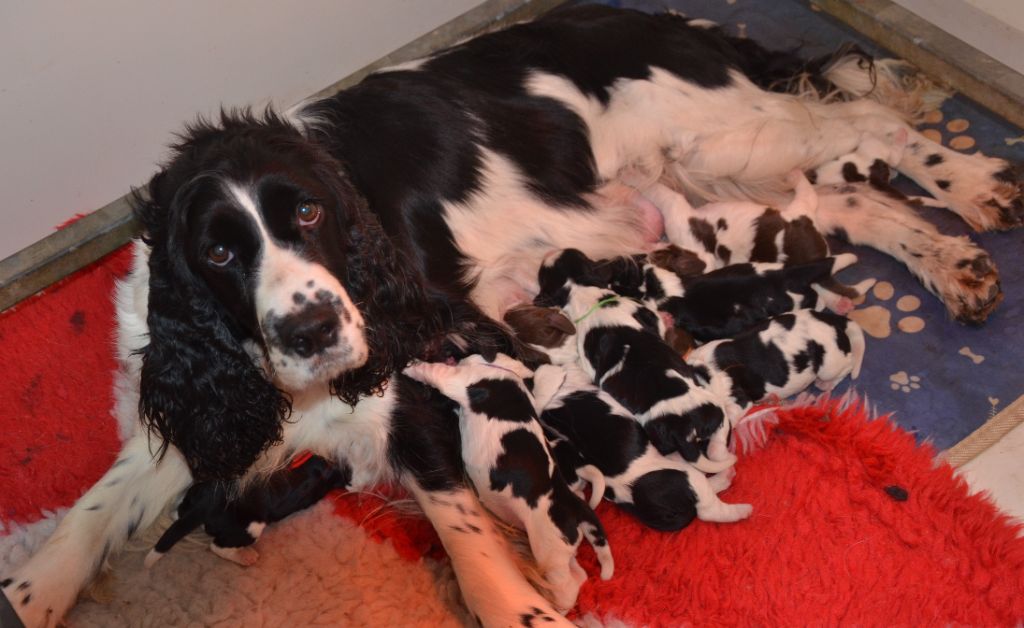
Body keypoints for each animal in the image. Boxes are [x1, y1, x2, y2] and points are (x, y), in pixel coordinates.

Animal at [142, 452, 352, 565]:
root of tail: (207, 502)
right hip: (253, 526)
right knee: (217, 546)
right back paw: (246, 556)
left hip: (192, 497)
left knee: (178, 512)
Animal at [399, 352, 610, 610]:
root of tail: (574, 506)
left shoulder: (457, 380)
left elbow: (432, 371)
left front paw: (410, 367)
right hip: (563, 551)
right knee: (579, 575)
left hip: (549, 549)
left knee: (567, 586)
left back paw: (555, 603)